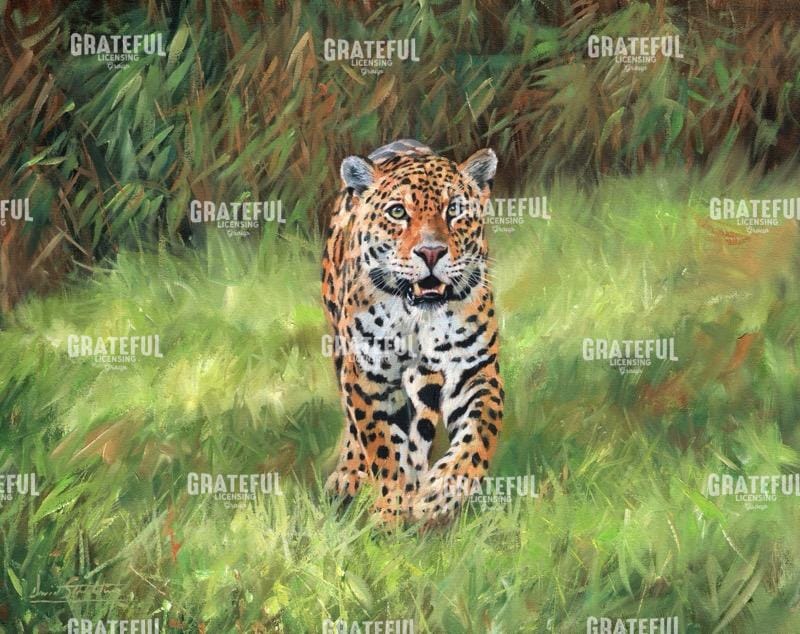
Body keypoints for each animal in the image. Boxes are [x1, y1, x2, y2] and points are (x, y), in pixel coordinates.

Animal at [321, 139, 504, 527]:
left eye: (454, 209)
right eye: (397, 212)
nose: (431, 252)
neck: (417, 316)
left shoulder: (474, 371)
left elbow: (478, 434)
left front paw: (439, 495)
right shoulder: (367, 379)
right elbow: (383, 449)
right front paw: (389, 512)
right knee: (354, 427)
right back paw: (348, 475)